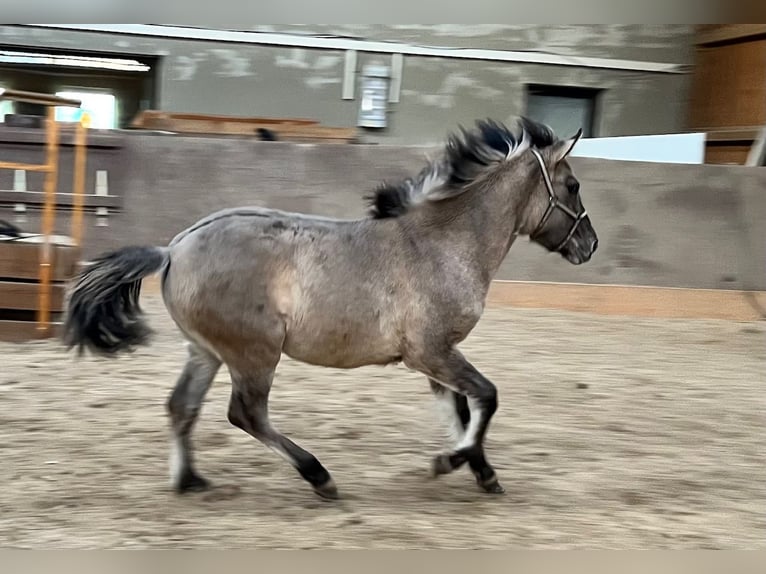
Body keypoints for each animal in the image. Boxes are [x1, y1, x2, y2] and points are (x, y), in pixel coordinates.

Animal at [63, 116, 600, 500]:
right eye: (573, 186)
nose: (590, 245)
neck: (441, 243)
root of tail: (172, 249)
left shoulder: (435, 356)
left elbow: (462, 411)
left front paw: (482, 472)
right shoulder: (431, 352)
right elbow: (486, 398)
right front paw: (450, 464)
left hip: (206, 352)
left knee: (181, 407)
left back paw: (189, 481)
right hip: (254, 353)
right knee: (246, 414)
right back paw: (319, 477)